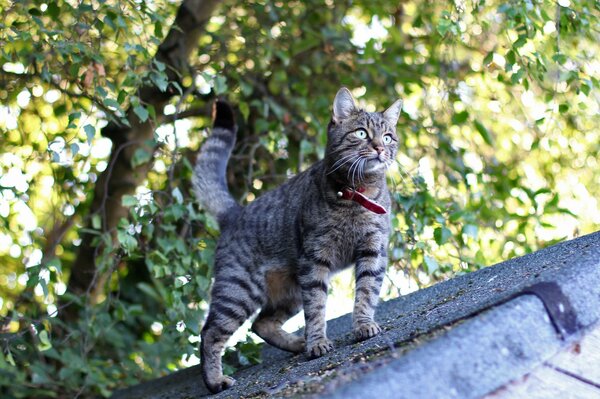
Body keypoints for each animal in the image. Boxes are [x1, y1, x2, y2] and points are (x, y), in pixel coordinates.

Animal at [195, 88, 400, 394]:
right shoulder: (315, 259)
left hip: (288, 292)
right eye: (362, 133)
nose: (378, 148)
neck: (356, 194)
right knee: (209, 332)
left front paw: (363, 325)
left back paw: (295, 343)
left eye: (387, 137)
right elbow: (317, 308)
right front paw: (317, 343)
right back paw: (215, 381)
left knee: (261, 324)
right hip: (239, 289)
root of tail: (235, 212)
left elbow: (366, 293)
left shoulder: (372, 250)